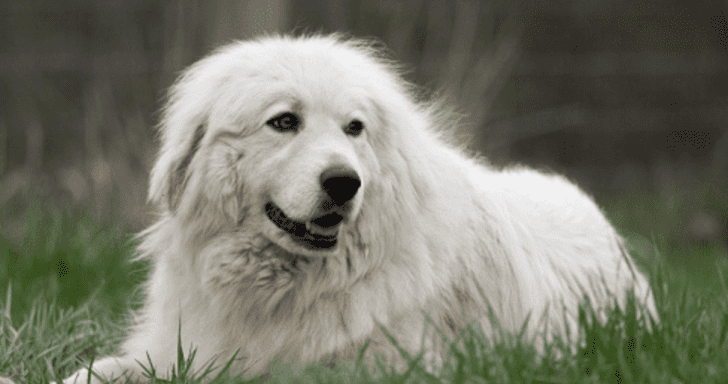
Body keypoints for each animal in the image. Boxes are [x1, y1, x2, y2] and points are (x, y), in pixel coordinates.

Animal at [59, 34, 656, 382]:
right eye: (284, 122)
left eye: (354, 128)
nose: (345, 183)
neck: (284, 290)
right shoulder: (179, 349)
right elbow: (93, 372)